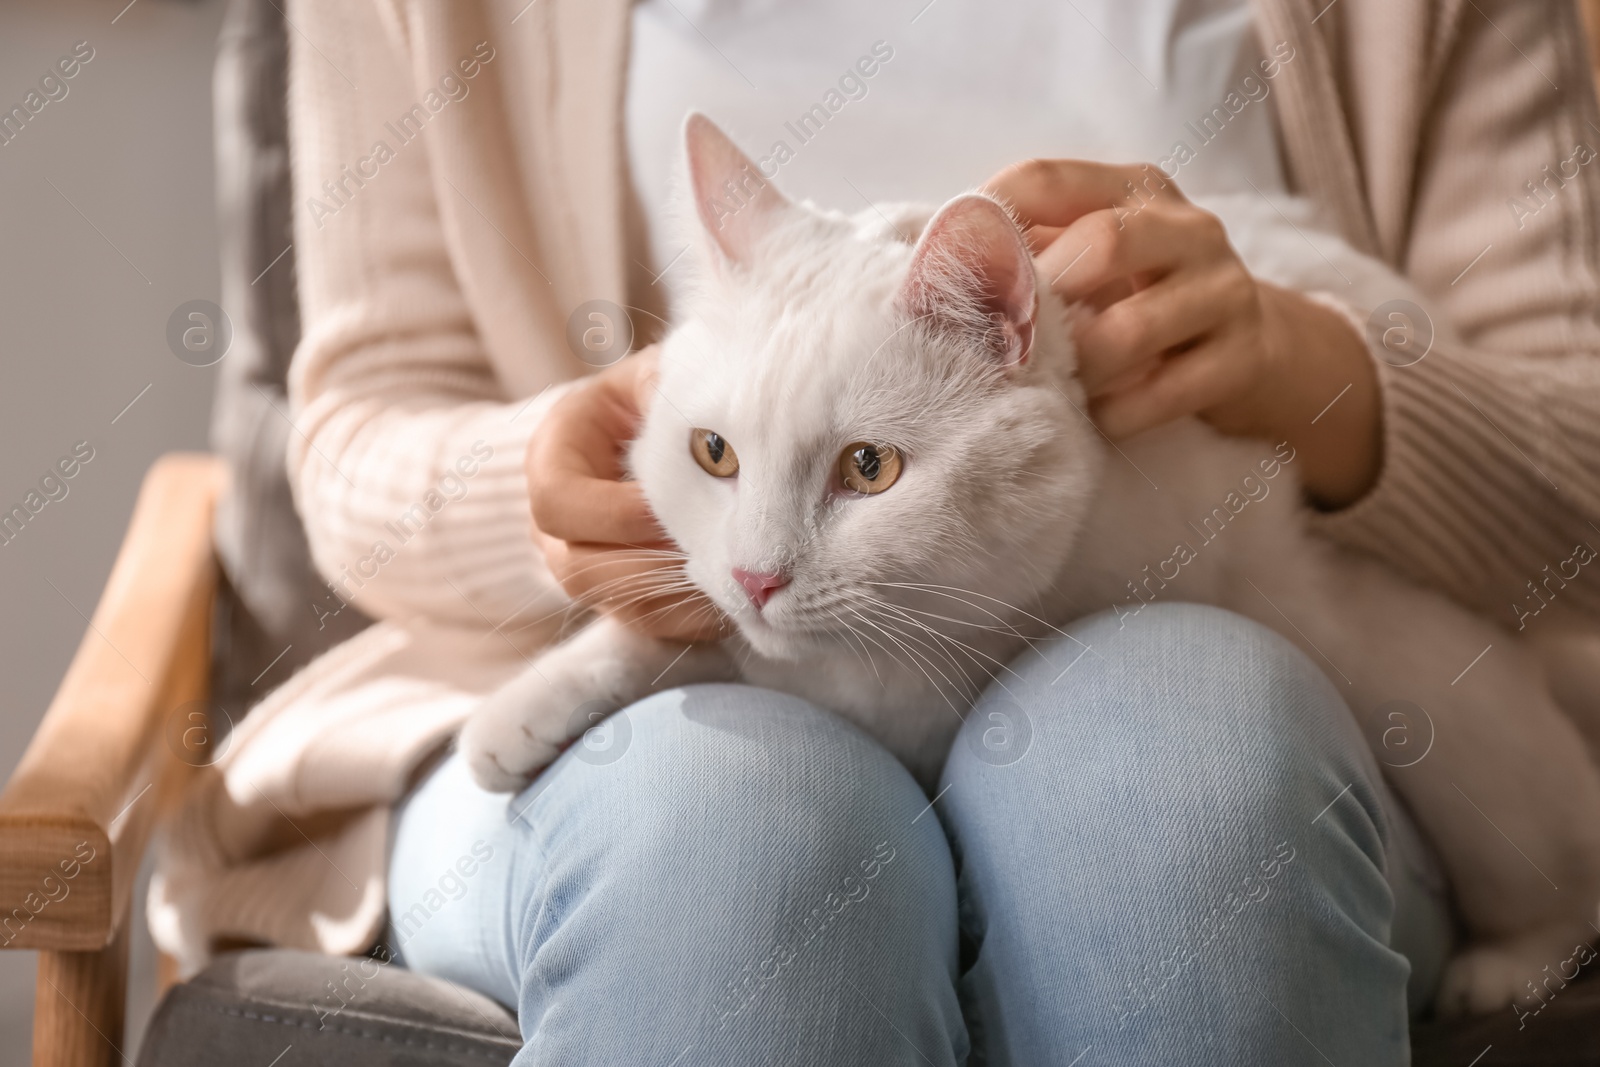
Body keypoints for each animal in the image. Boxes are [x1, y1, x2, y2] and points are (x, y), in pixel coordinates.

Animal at [460, 112, 1600, 1017]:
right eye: (712, 453)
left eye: (868, 468)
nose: (755, 577)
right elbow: (690, 636)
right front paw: (530, 706)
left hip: (1440, 697)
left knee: (1550, 831)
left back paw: (1509, 965)